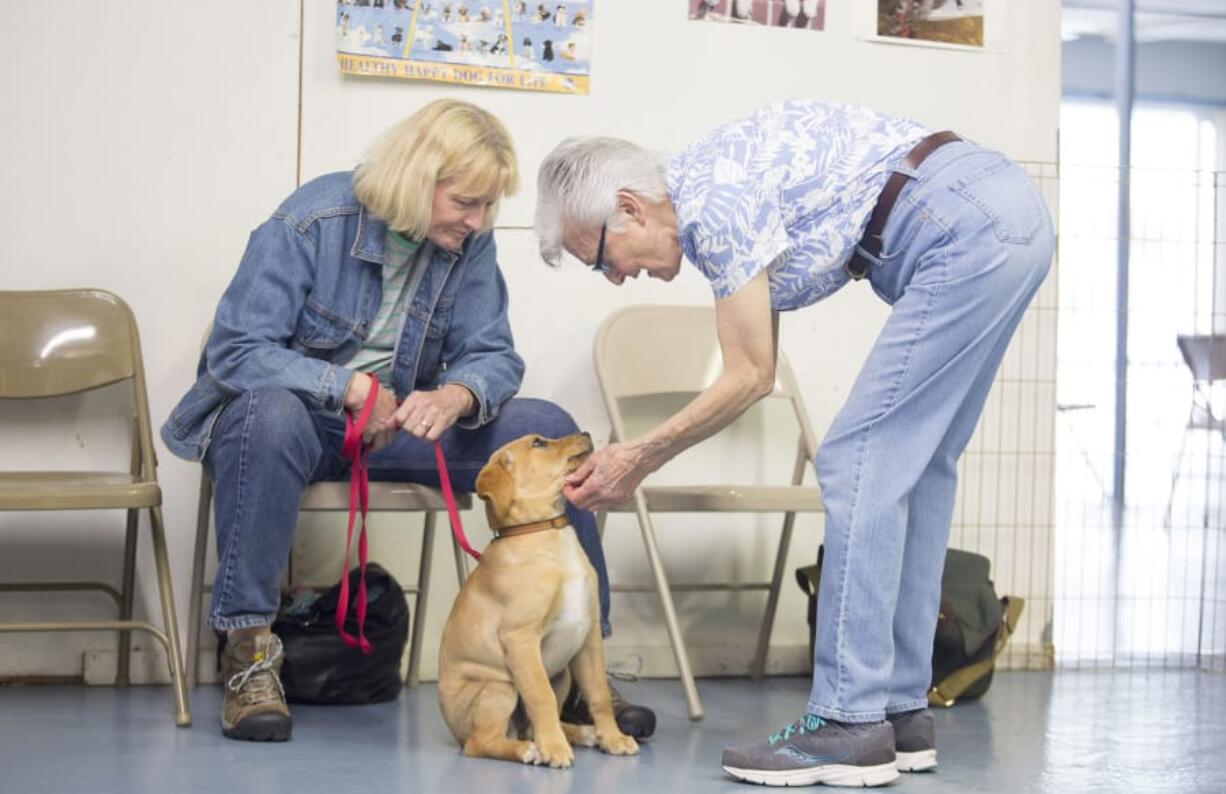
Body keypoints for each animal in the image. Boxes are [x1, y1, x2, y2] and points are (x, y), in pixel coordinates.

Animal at [436, 431, 637, 764]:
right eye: (538, 443)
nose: (585, 433)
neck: (545, 532)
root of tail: (455, 732)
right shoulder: (521, 638)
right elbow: (540, 697)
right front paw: (554, 749)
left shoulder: (589, 634)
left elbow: (598, 694)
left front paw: (613, 738)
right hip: (497, 688)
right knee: (481, 742)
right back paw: (529, 749)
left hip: (563, 675)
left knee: (532, 725)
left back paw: (581, 733)